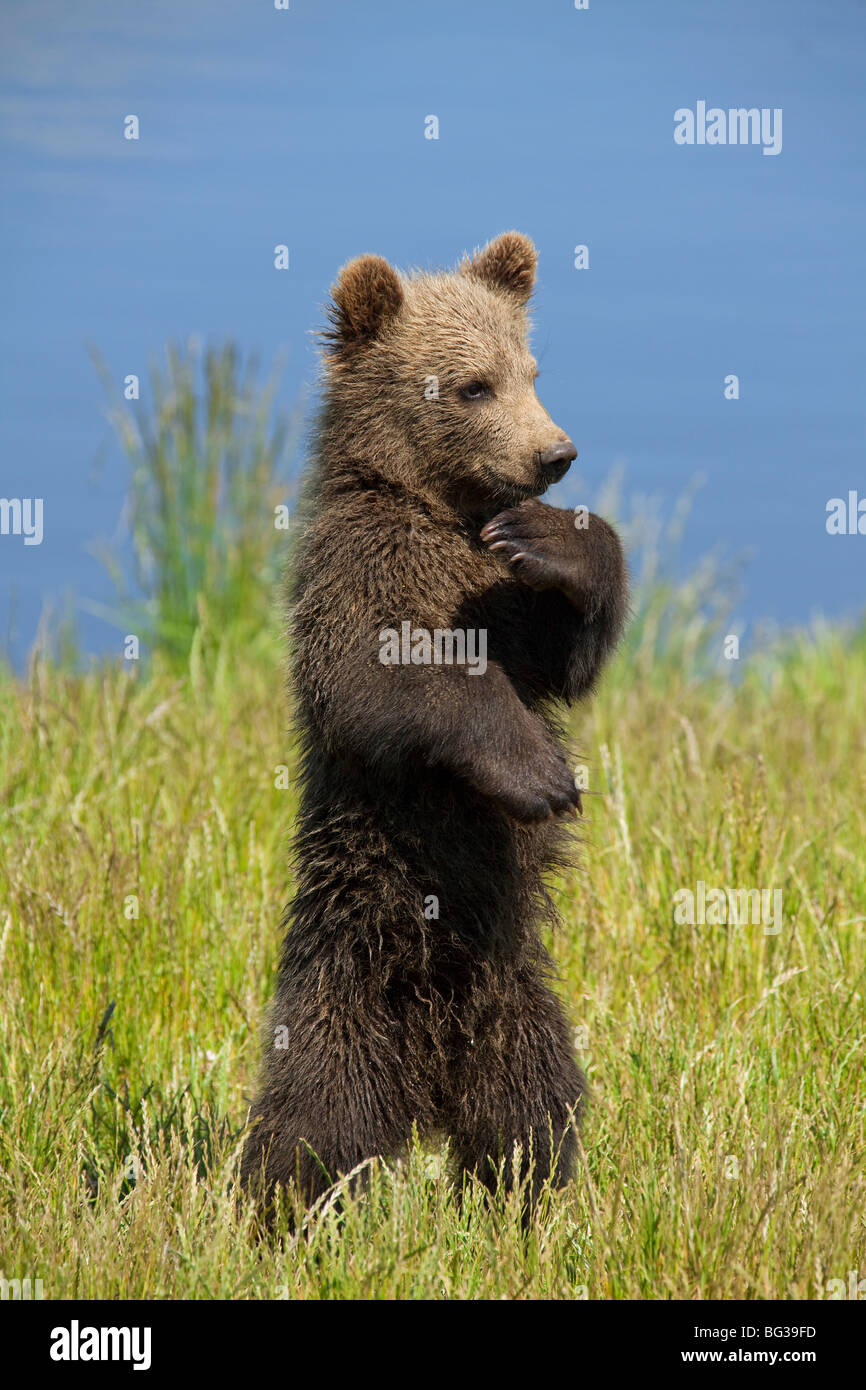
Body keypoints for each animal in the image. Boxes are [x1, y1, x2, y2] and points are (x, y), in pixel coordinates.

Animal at [240, 233, 625, 1212]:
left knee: (535, 1107)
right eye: (472, 386)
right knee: (318, 1118)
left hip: (518, 997)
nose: (556, 453)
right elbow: (390, 682)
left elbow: (566, 650)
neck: (441, 509)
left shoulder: (505, 602)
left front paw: (554, 534)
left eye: (531, 368)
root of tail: (429, 1080)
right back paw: (291, 1207)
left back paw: (528, 1198)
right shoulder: (366, 569)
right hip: (345, 991)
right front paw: (541, 776)